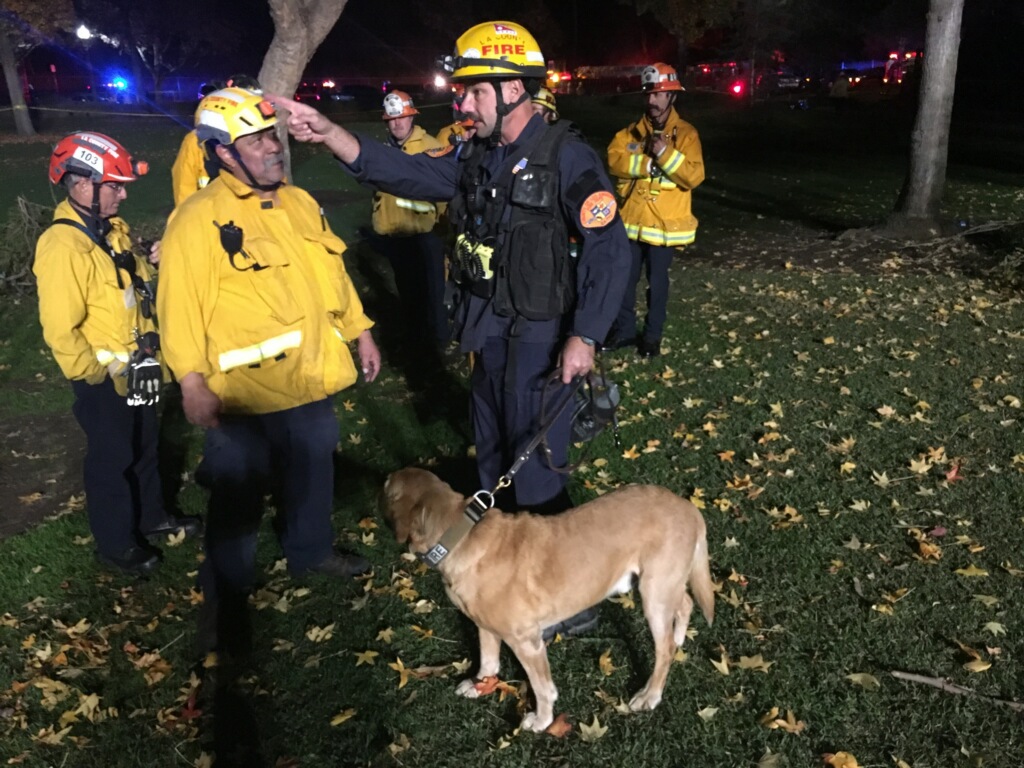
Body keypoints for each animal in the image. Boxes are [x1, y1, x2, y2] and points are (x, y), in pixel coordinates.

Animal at [382, 468, 712, 733]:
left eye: (384, 487)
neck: (458, 536)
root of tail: (687, 506)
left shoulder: (527, 642)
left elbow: (543, 689)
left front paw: (541, 721)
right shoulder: (484, 626)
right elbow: (488, 661)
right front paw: (480, 685)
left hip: (653, 594)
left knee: (664, 649)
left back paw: (649, 695)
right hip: (661, 588)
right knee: (685, 604)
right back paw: (679, 636)